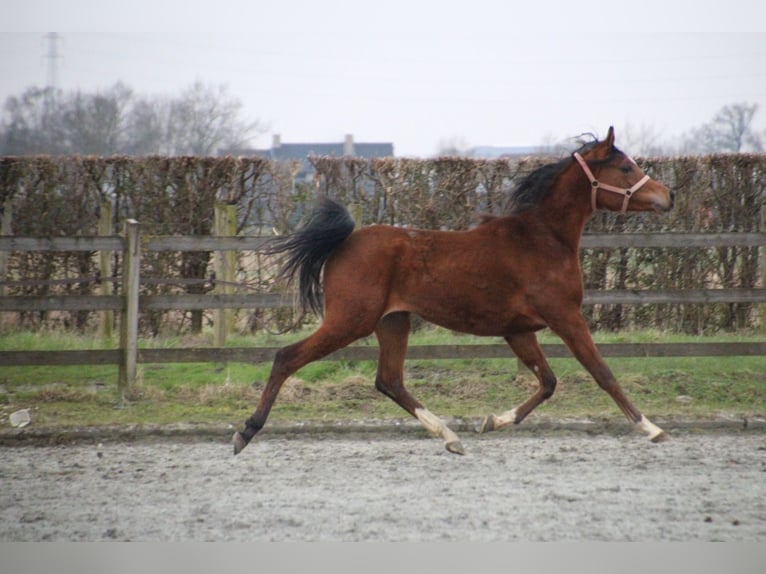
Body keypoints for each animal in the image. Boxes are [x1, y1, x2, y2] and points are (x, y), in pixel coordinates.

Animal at [231, 128, 676, 456]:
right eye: (625, 166)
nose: (668, 196)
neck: (542, 239)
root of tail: (345, 241)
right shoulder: (565, 316)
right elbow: (602, 373)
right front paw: (652, 428)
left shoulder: (519, 330)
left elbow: (548, 382)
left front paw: (492, 421)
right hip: (350, 320)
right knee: (287, 357)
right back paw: (245, 433)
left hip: (393, 322)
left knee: (389, 380)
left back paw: (450, 436)